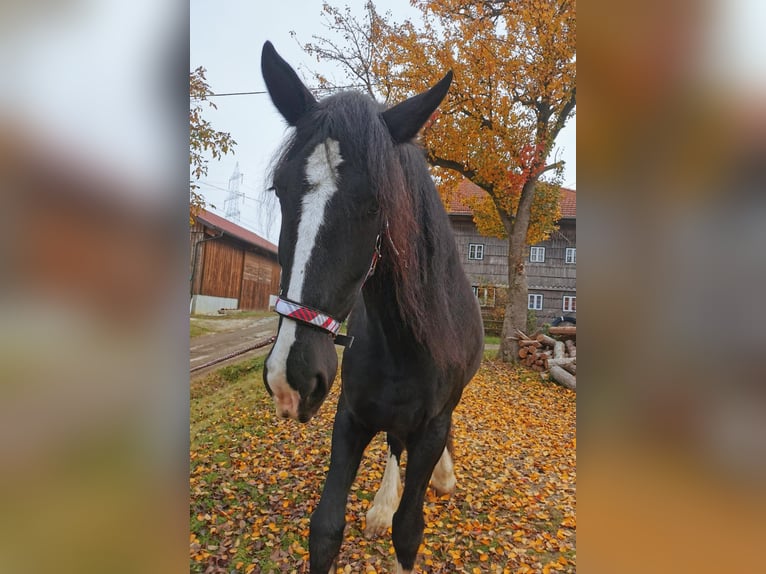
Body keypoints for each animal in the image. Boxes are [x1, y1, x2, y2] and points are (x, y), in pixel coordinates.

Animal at [260, 41, 484, 573]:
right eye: (280, 189)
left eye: (379, 203)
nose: (292, 379)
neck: (402, 343)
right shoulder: (351, 417)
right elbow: (325, 528)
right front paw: (378, 509)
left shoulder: (432, 428)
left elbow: (409, 530)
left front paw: (423, 491)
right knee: (393, 443)